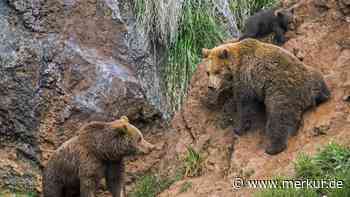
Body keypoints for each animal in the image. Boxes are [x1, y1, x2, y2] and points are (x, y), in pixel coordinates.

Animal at [202, 38, 330, 155]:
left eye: (217, 71)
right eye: (208, 72)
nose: (211, 86)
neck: (235, 65)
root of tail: (308, 93)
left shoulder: (245, 77)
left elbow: (244, 104)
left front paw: (238, 128)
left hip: (281, 92)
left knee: (278, 117)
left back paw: (272, 148)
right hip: (311, 74)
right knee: (319, 79)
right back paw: (324, 95)